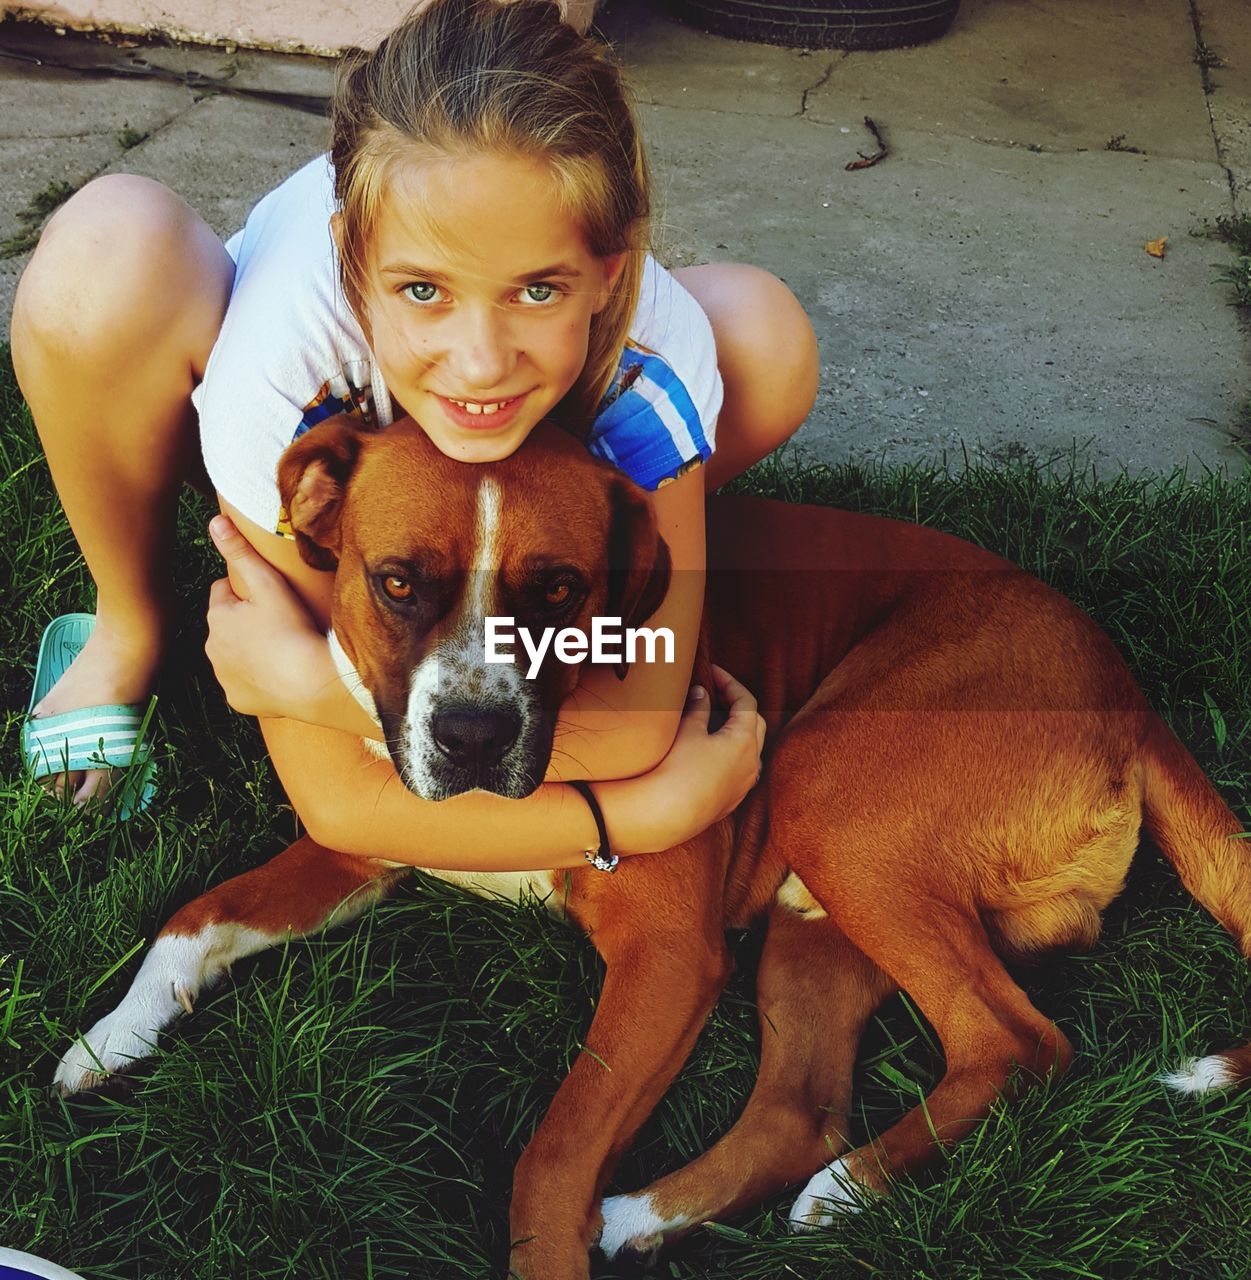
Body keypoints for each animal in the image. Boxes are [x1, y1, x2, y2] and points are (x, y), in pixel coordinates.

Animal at [58, 419, 1249, 1280]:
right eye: (397, 581)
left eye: (559, 589)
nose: (472, 735)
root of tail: (1127, 688)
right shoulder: (352, 854)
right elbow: (192, 917)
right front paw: (113, 1035)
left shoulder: (667, 957)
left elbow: (551, 1153)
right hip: (819, 914)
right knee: (803, 1107)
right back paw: (669, 1212)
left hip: (829, 793)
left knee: (1017, 1039)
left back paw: (841, 1187)